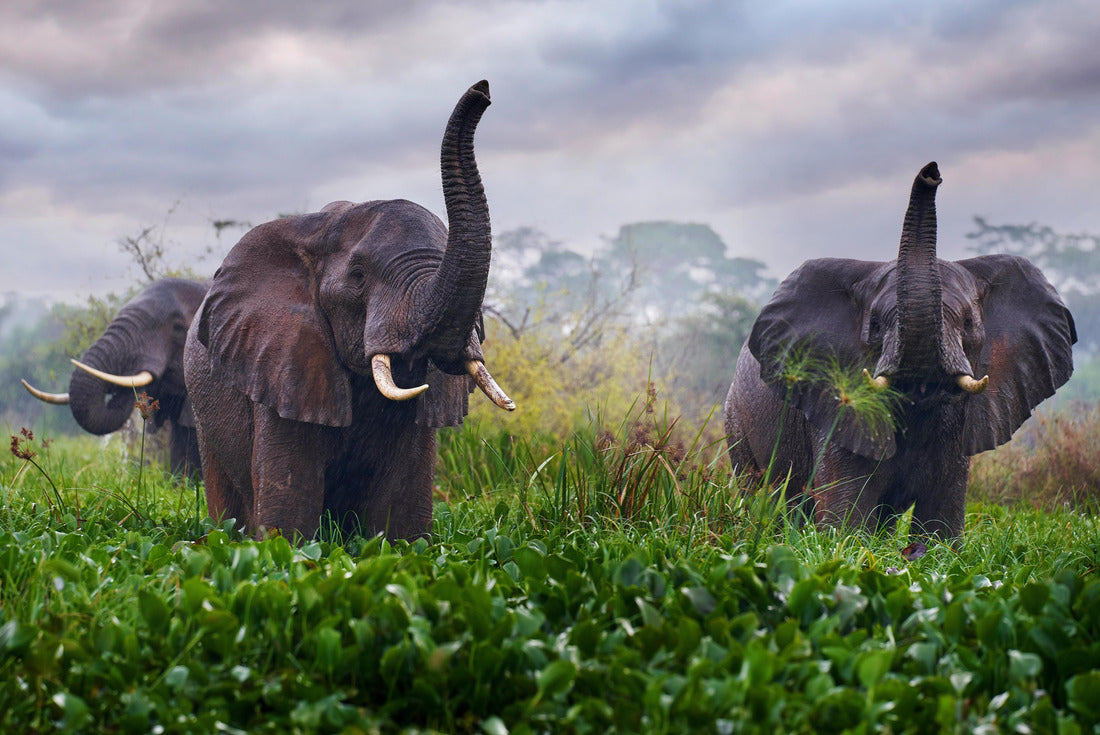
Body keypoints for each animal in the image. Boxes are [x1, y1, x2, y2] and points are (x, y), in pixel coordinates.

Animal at [724, 162, 1076, 539]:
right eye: (877, 324)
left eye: (968, 323)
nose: (932, 173)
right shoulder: (839, 407)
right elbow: (846, 519)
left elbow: (940, 523)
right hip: (736, 424)